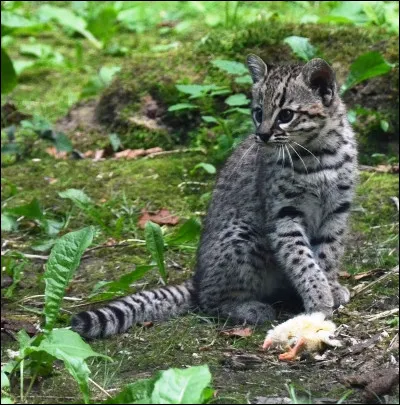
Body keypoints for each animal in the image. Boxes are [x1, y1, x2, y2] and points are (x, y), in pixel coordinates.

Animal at [71, 54, 356, 338]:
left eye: (286, 115)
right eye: (258, 113)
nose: (262, 135)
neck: (318, 154)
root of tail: (197, 278)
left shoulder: (337, 211)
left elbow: (327, 254)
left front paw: (329, 288)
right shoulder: (284, 216)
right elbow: (303, 261)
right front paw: (319, 297)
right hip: (243, 235)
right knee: (209, 301)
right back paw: (247, 308)